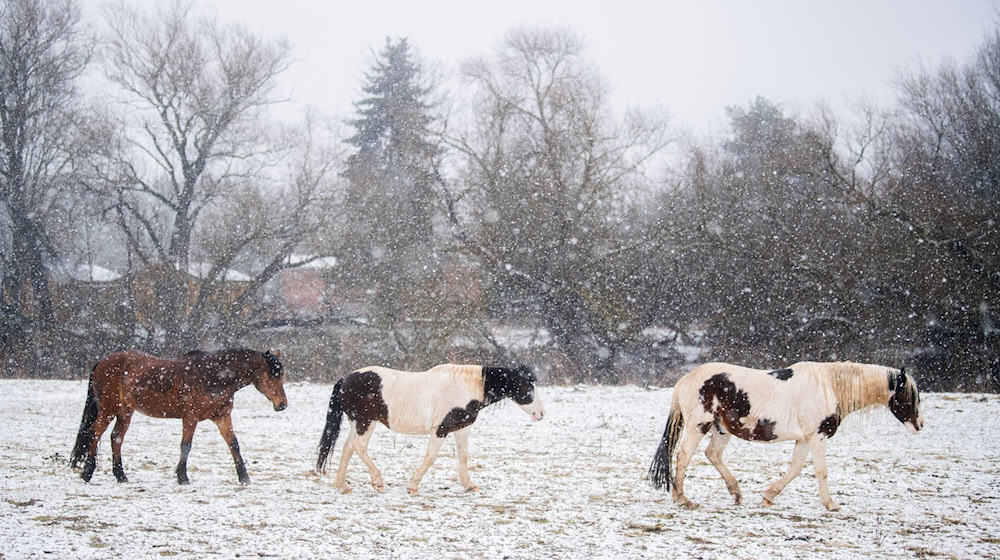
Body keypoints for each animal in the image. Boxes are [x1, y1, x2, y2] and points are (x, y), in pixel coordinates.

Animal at [69, 348, 288, 485]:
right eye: (272, 375)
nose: (282, 405)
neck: (214, 375)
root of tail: (102, 362)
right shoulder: (190, 417)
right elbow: (186, 446)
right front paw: (182, 477)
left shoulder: (222, 417)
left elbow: (233, 444)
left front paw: (244, 477)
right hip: (108, 410)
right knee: (94, 433)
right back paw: (87, 472)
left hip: (125, 412)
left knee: (116, 438)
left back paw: (121, 476)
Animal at [315, 363, 545, 494]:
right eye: (528, 387)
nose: (541, 414)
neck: (467, 387)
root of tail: (345, 379)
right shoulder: (440, 429)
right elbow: (431, 457)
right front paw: (413, 486)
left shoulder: (461, 430)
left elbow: (463, 456)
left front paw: (469, 485)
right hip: (366, 423)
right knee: (359, 447)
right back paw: (377, 481)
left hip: (357, 423)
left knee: (348, 448)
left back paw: (342, 485)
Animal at [647, 361, 924, 511]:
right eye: (910, 395)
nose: (920, 425)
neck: (829, 387)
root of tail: (685, 380)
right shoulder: (817, 437)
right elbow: (821, 470)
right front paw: (831, 504)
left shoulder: (804, 439)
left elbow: (795, 468)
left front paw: (769, 496)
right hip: (699, 425)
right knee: (684, 456)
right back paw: (683, 499)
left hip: (721, 429)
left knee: (712, 454)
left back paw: (736, 493)